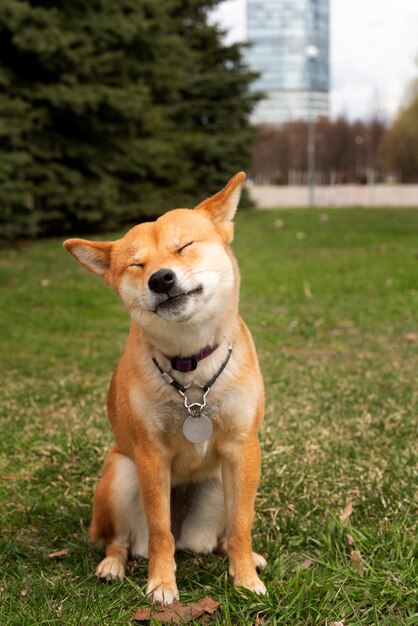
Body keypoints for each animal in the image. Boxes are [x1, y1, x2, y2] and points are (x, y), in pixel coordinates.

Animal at [62, 171, 264, 600]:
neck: (190, 365)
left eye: (183, 246)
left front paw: (245, 579)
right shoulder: (150, 455)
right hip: (121, 476)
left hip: (218, 486)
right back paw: (112, 565)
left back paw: (242, 557)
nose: (161, 278)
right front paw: (161, 584)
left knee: (224, 535)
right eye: (137, 265)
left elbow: (242, 524)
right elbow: (159, 532)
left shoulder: (242, 447)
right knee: (121, 540)